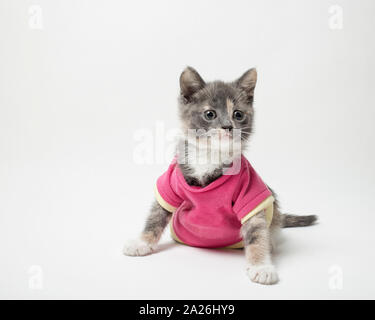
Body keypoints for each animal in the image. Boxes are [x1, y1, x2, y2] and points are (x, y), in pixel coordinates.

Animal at [124, 66, 318, 284]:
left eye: (238, 114)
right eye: (210, 114)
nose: (228, 126)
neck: (210, 154)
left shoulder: (251, 191)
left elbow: (257, 231)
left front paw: (261, 266)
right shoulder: (170, 182)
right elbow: (156, 215)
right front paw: (141, 242)